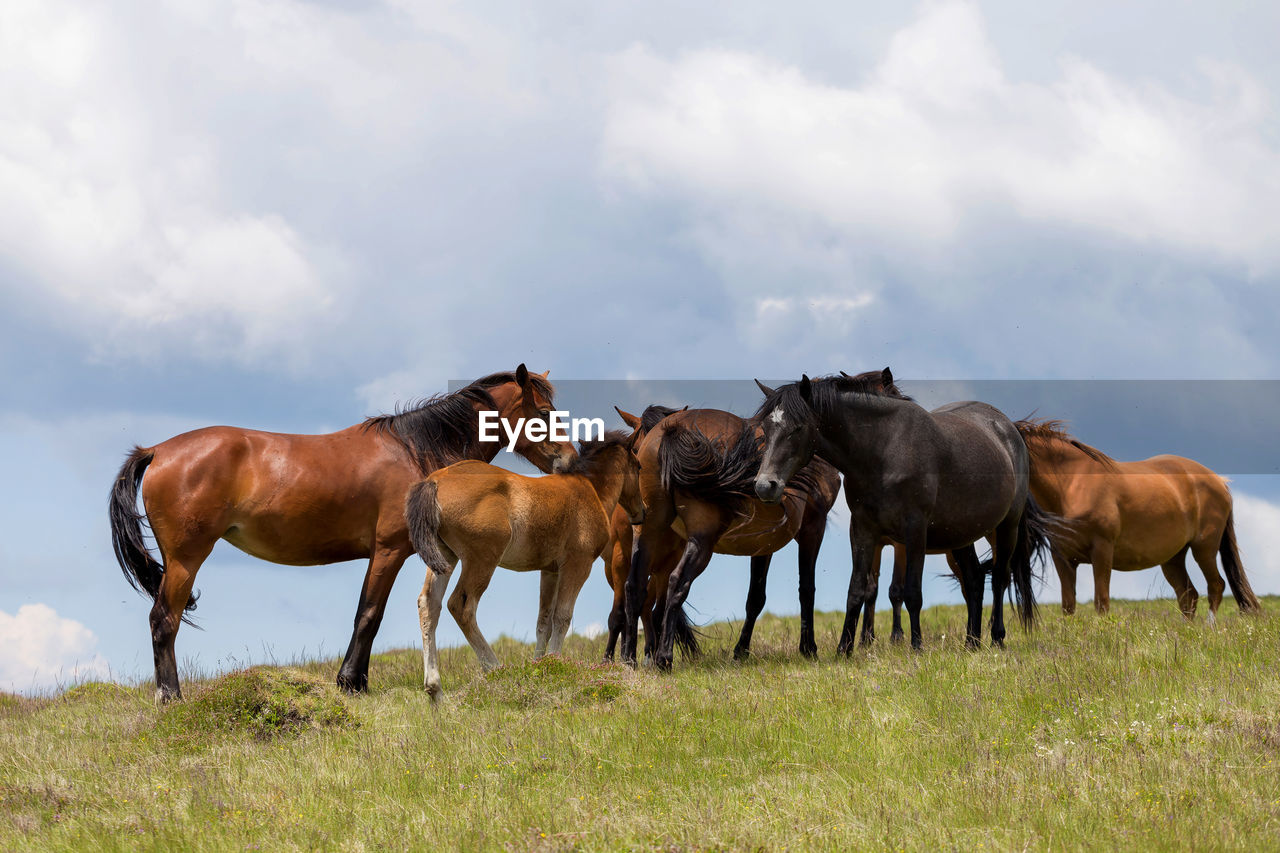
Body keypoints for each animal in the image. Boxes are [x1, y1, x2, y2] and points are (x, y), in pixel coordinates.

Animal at [104, 361, 576, 701]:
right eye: (544, 413)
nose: (570, 459)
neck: (416, 451)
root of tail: (157, 451)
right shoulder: (387, 551)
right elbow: (369, 615)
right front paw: (351, 683)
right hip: (186, 559)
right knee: (163, 620)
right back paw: (171, 698)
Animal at [404, 427, 640, 696]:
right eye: (639, 466)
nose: (641, 512)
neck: (591, 490)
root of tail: (436, 480)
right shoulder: (577, 566)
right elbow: (562, 617)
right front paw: (556, 663)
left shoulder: (550, 571)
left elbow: (544, 622)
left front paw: (541, 665)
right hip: (481, 561)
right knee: (461, 606)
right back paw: (496, 669)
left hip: (445, 558)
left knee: (429, 605)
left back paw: (434, 688)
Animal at [619, 384, 860, 671]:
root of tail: (671, 432)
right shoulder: (813, 528)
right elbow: (806, 589)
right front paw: (808, 648)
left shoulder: (764, 542)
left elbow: (755, 597)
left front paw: (741, 651)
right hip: (701, 539)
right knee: (677, 583)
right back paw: (663, 658)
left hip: (649, 531)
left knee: (635, 585)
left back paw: (630, 658)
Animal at [747, 368, 1049, 648]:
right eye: (766, 429)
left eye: (797, 428)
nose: (765, 486)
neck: (884, 451)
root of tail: (1008, 428)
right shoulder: (863, 530)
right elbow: (857, 590)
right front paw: (844, 649)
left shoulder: (914, 531)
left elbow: (911, 593)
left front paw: (916, 646)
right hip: (961, 534)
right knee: (974, 581)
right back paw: (971, 642)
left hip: (1007, 527)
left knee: (999, 577)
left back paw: (996, 637)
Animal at [1013, 417, 1264, 617]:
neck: (1072, 485)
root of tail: (1219, 481)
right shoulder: (1063, 557)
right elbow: (1068, 605)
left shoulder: (1102, 551)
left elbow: (1101, 602)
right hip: (1172, 558)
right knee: (1188, 595)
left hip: (1204, 548)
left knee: (1216, 586)